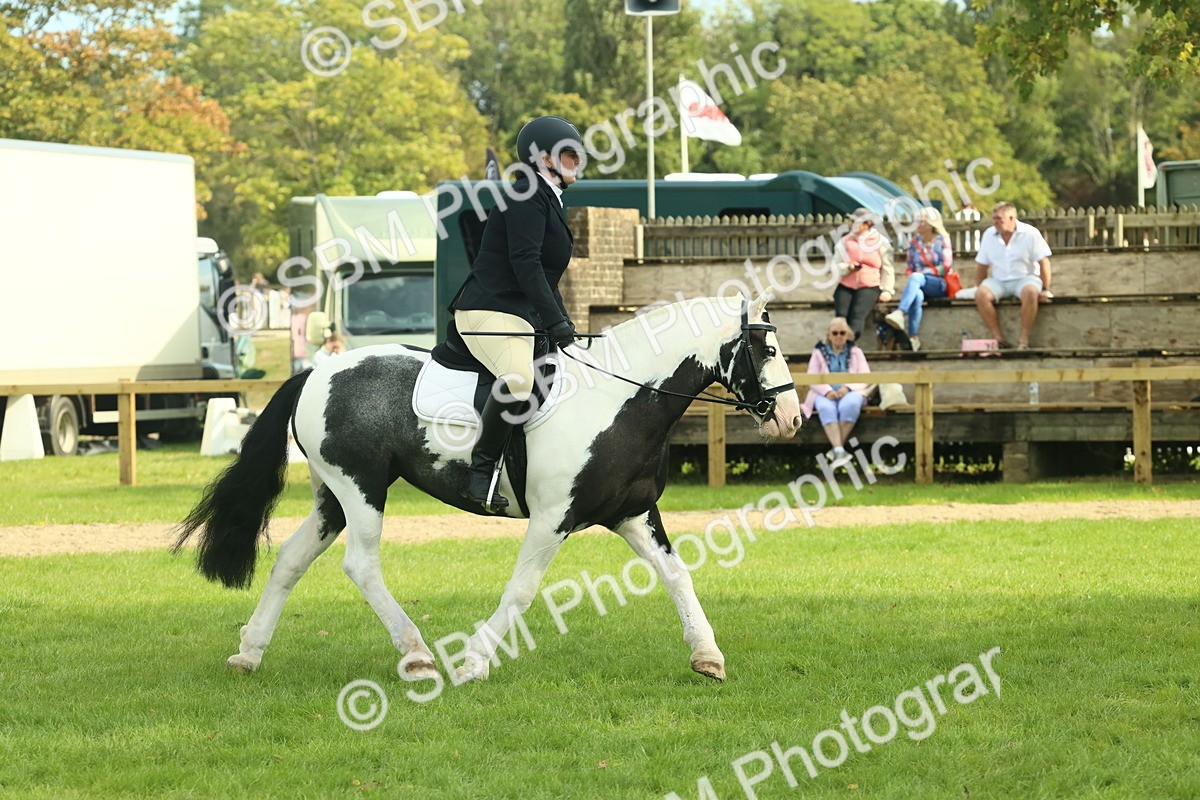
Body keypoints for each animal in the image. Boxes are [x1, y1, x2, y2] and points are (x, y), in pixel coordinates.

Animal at [174, 292, 802, 683]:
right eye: (768, 350)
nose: (793, 419)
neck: (620, 399)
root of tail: (315, 371)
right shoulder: (553, 518)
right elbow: (521, 591)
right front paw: (474, 662)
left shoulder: (635, 513)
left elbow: (676, 575)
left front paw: (707, 657)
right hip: (361, 490)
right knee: (361, 565)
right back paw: (418, 656)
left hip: (334, 496)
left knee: (290, 559)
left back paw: (249, 652)